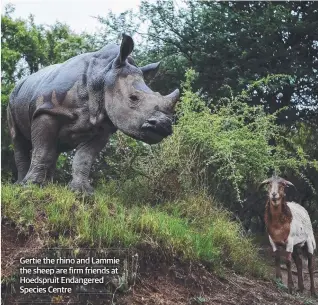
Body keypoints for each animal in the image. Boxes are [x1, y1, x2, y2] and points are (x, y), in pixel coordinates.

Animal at [7, 33, 180, 195]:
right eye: (133, 98)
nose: (163, 125)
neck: (103, 75)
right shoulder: (48, 111)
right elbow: (42, 150)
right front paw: (31, 186)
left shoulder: (103, 127)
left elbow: (84, 158)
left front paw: (82, 192)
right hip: (13, 97)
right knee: (18, 139)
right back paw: (21, 184)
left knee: (53, 148)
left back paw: (48, 185)